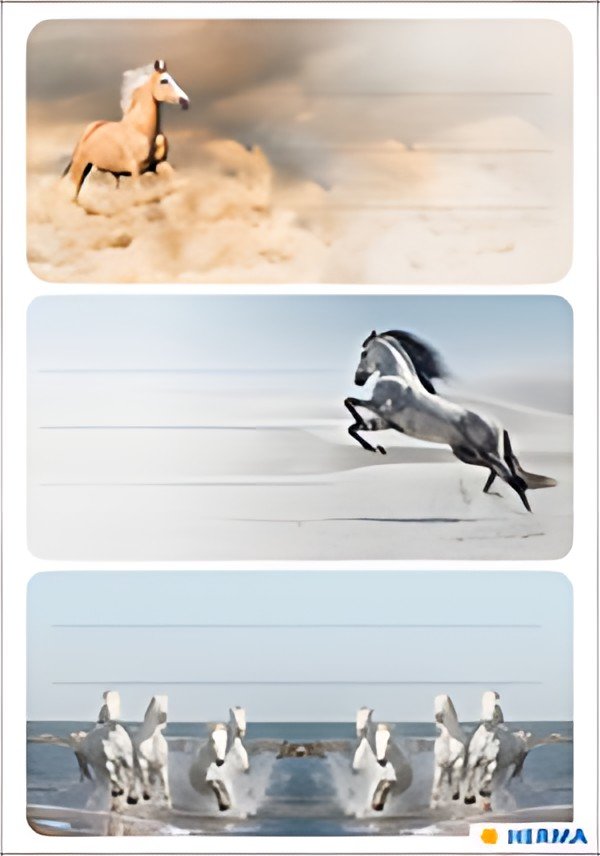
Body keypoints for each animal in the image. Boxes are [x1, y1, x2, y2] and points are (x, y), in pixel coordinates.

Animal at [63, 59, 189, 200]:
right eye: (164, 81)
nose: (185, 101)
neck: (140, 130)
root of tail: (89, 130)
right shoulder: (135, 171)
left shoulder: (157, 166)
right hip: (80, 168)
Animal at [345, 330, 557, 511]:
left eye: (364, 353)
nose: (358, 381)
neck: (397, 378)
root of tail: (499, 425)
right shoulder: (387, 422)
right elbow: (353, 425)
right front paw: (375, 448)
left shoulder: (378, 407)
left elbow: (350, 405)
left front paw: (373, 446)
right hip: (468, 455)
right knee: (498, 474)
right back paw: (488, 493)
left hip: (489, 455)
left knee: (515, 481)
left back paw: (527, 513)